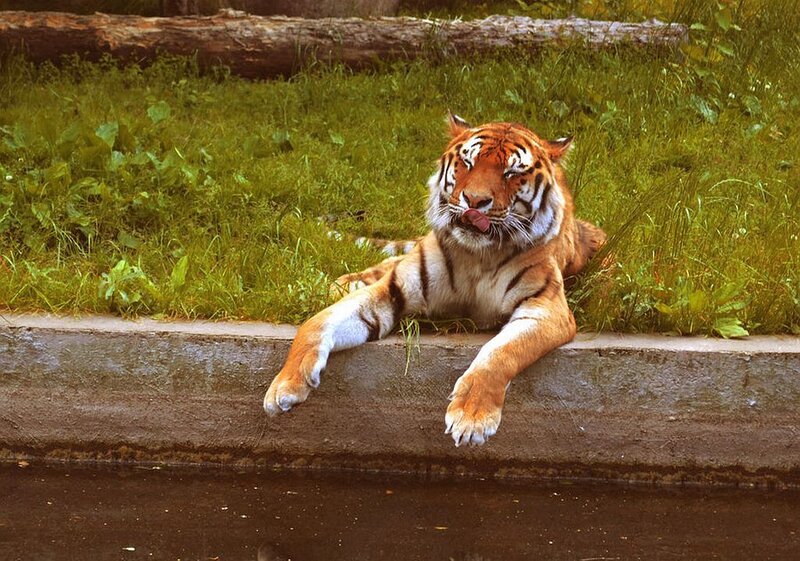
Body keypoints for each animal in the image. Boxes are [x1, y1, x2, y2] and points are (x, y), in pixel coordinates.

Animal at [263, 113, 606, 447]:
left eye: (511, 173)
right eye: (468, 163)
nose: (474, 201)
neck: (478, 255)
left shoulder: (545, 308)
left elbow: (500, 352)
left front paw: (471, 418)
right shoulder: (395, 287)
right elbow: (317, 324)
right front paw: (283, 386)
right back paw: (341, 282)